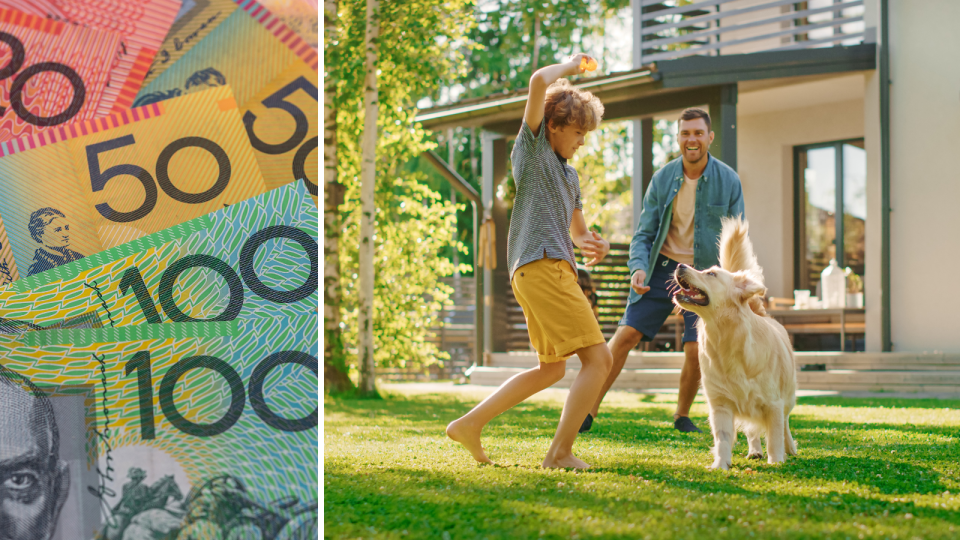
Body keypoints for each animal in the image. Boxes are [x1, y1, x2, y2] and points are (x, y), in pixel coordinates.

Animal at [672, 216, 800, 468]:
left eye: (711, 274)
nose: (680, 265)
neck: (726, 338)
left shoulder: (774, 404)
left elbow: (775, 436)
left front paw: (776, 462)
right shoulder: (720, 403)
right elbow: (723, 438)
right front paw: (720, 465)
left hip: (788, 397)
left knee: (785, 424)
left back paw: (789, 448)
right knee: (753, 431)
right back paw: (754, 451)